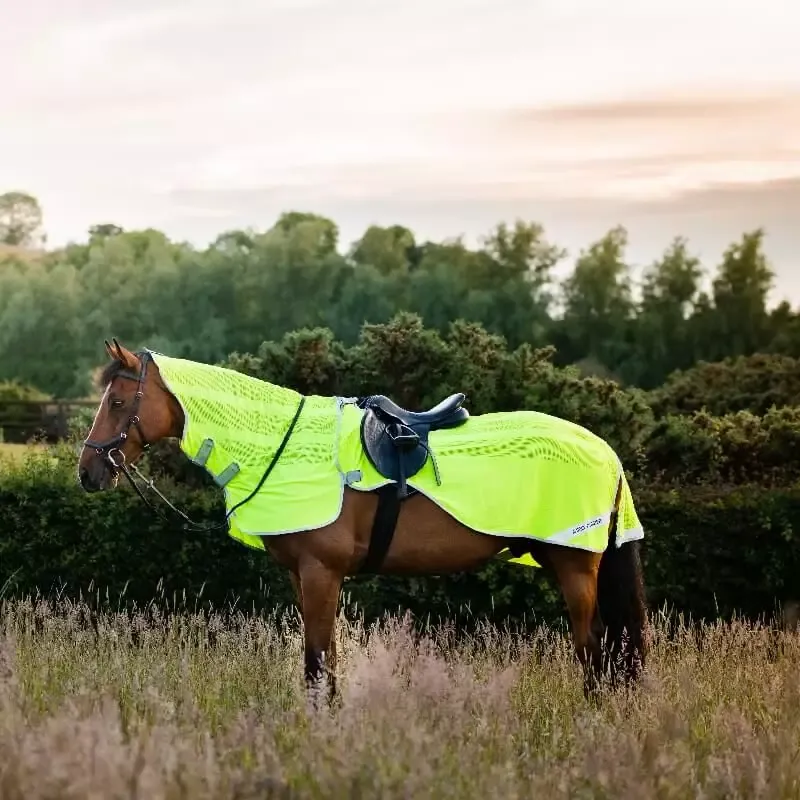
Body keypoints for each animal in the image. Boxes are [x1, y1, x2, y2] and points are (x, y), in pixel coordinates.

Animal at [77, 339, 648, 702]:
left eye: (118, 401)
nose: (88, 472)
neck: (281, 445)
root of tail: (606, 452)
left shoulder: (321, 573)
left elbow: (316, 662)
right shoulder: (305, 577)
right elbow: (324, 662)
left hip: (573, 566)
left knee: (593, 649)